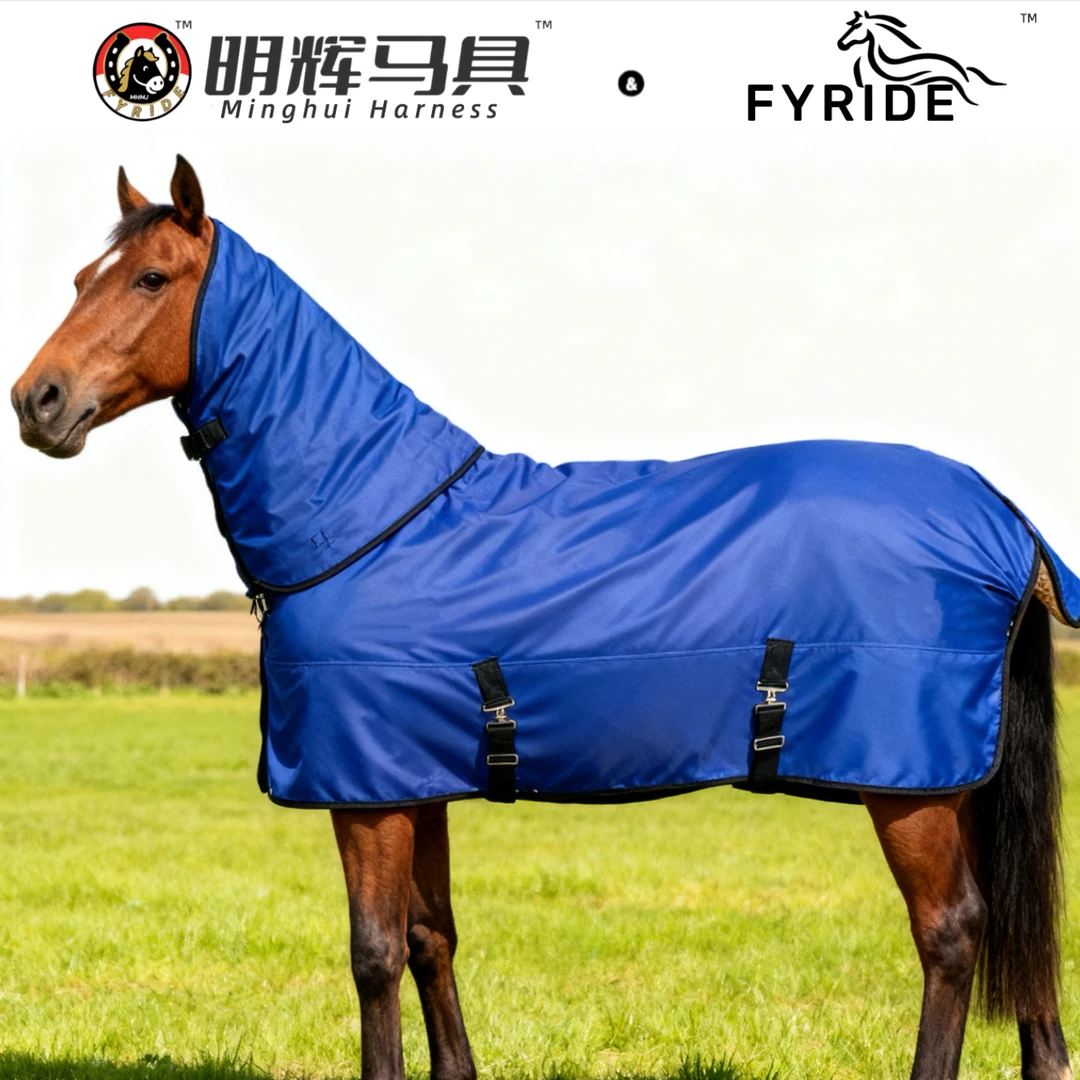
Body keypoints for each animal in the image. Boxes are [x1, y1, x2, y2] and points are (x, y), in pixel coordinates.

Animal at [10, 156, 1074, 1080]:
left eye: (151, 277)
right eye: (81, 278)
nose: (36, 401)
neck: (372, 513)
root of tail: (1002, 514)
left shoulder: (365, 793)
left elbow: (373, 953)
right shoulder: (416, 779)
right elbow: (431, 938)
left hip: (914, 788)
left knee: (953, 932)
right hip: (960, 779)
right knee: (1019, 925)